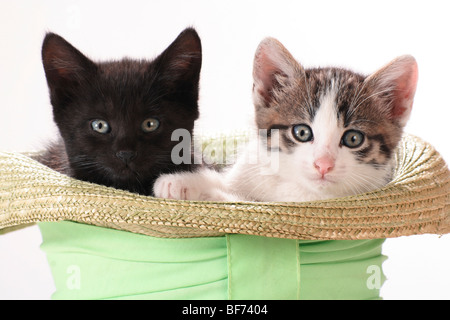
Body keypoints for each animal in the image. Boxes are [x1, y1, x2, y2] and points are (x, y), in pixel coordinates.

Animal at [152, 38, 418, 202]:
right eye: (302, 132)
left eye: (354, 138)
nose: (323, 165)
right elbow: (229, 185)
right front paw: (183, 183)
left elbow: (242, 202)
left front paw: (197, 190)